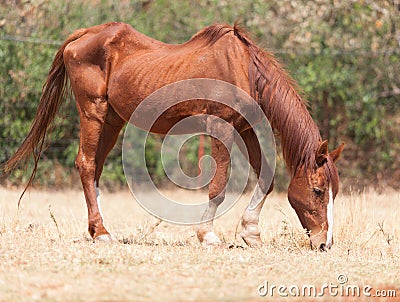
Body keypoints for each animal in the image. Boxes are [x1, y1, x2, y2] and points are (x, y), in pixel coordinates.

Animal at [0, 23, 344, 250]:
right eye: (317, 191)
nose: (324, 244)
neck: (244, 68)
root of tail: (83, 35)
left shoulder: (247, 130)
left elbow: (266, 180)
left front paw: (251, 233)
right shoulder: (220, 128)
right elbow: (218, 186)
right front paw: (207, 235)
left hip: (112, 121)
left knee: (94, 169)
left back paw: (97, 229)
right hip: (93, 112)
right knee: (85, 164)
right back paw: (101, 232)